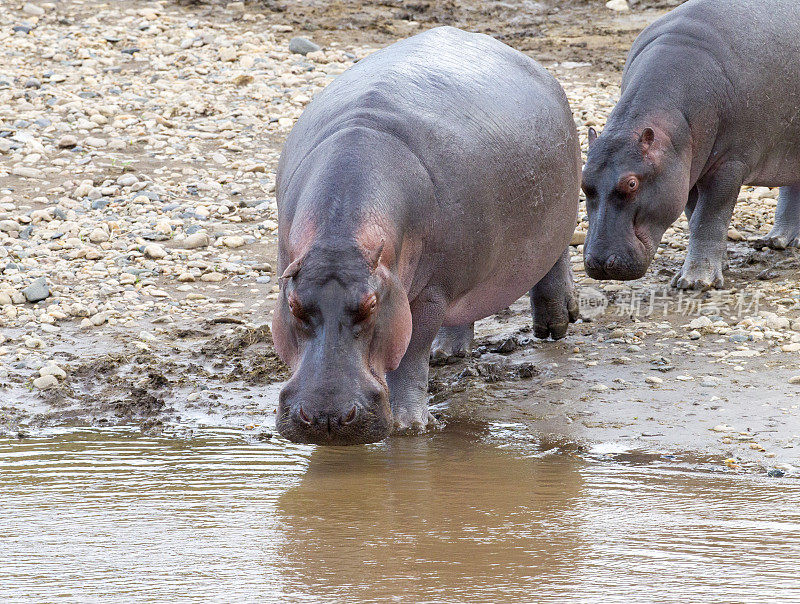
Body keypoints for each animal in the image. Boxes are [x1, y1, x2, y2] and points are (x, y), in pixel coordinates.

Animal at [272, 27, 580, 444]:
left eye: (371, 304)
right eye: (293, 305)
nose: (326, 419)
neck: (340, 239)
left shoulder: (432, 292)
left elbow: (411, 353)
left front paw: (409, 425)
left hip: (555, 216)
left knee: (555, 256)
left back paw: (554, 325)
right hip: (468, 262)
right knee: (465, 308)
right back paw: (448, 353)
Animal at [580, 0, 800, 290]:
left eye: (632, 183)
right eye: (583, 182)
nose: (601, 262)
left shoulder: (728, 163)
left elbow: (709, 217)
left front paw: (695, 281)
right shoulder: (685, 169)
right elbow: (695, 215)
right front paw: (721, 264)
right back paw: (778, 241)